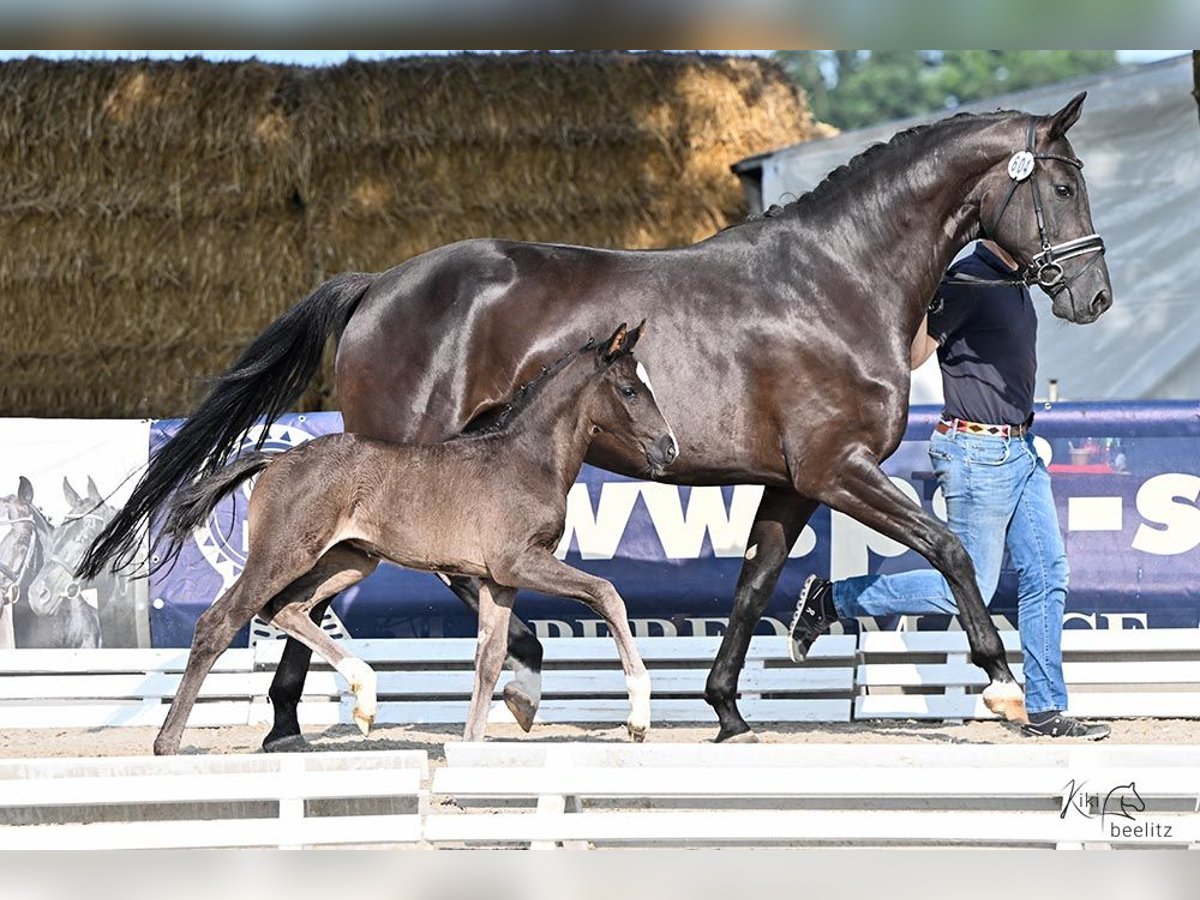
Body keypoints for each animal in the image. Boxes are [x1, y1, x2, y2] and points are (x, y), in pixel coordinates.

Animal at [151, 324, 676, 753]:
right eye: (629, 390)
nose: (669, 448)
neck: (526, 459)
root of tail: (276, 459)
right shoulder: (520, 561)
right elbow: (605, 594)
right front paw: (638, 718)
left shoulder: (499, 580)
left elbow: (489, 659)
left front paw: (475, 745)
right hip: (282, 554)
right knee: (220, 622)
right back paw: (168, 743)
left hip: (349, 561)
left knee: (285, 608)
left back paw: (364, 697)